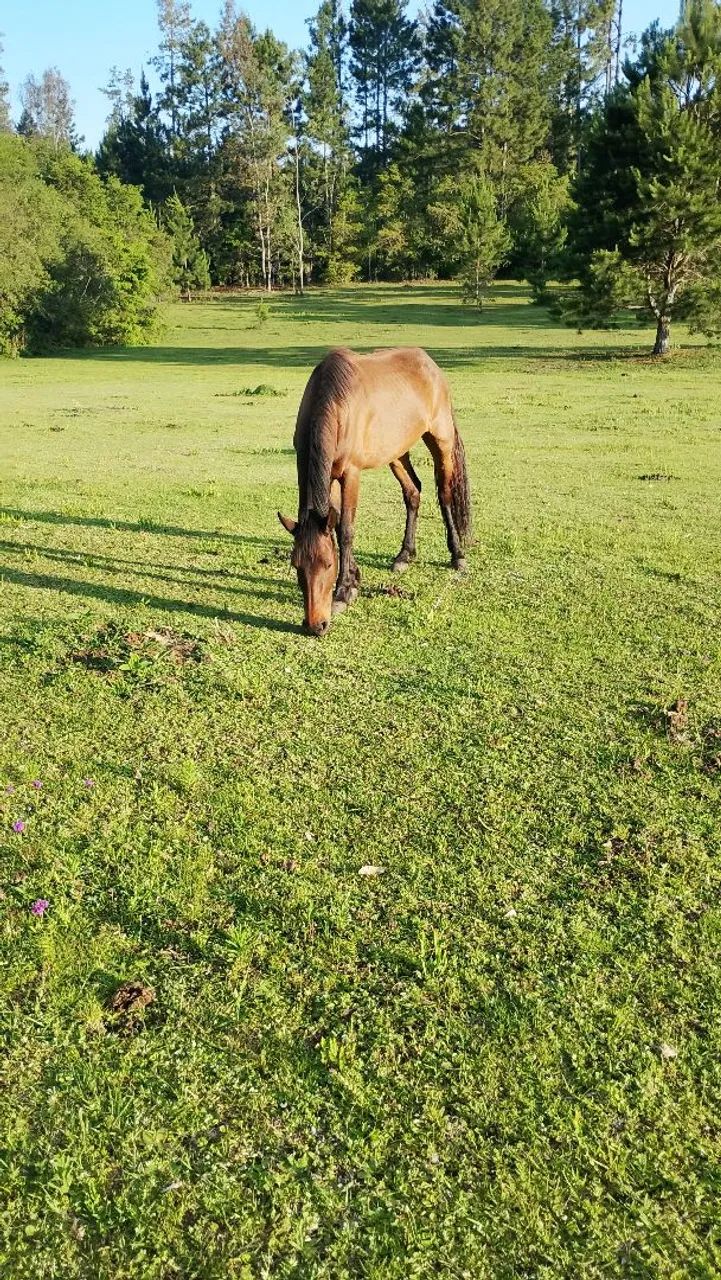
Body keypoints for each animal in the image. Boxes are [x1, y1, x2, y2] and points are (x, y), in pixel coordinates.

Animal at [277, 346, 471, 636]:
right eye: (296, 564)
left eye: (328, 564)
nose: (316, 625)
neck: (335, 402)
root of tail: (428, 362)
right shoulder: (331, 476)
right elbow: (337, 526)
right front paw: (354, 578)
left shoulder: (350, 474)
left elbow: (346, 530)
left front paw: (343, 593)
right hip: (396, 451)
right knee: (413, 492)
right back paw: (404, 556)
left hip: (441, 440)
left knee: (444, 494)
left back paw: (457, 556)